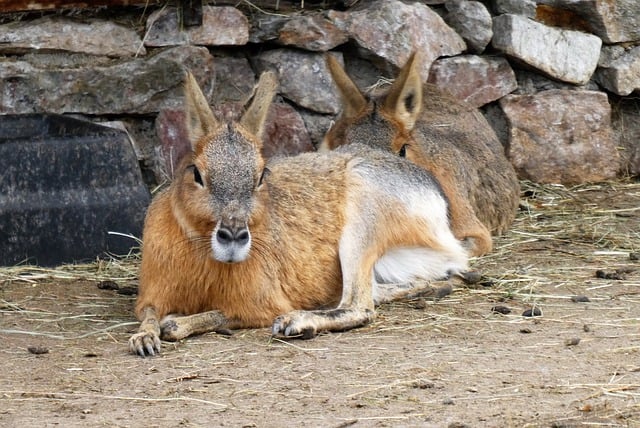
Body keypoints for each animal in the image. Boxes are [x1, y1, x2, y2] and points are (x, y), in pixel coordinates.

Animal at [128, 70, 469, 356]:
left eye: (261, 176)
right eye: (197, 173)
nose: (233, 236)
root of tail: (437, 199)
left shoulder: (260, 303)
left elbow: (204, 317)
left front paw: (172, 325)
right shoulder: (152, 294)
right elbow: (149, 316)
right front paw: (143, 340)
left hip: (362, 224)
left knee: (360, 305)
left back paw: (298, 322)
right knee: (387, 289)